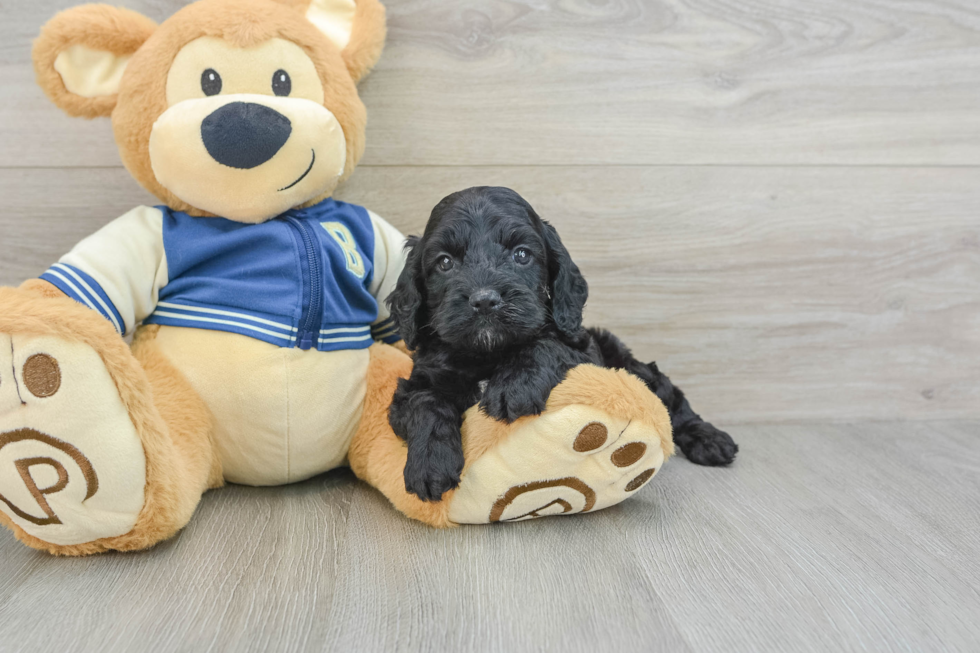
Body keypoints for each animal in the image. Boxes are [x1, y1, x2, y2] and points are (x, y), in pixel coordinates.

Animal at [384, 186, 736, 502]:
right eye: (445, 263)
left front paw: (515, 386)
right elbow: (427, 403)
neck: (490, 353)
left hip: (626, 361)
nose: (485, 300)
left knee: (670, 397)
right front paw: (430, 465)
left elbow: (546, 343)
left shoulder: (580, 347)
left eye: (521, 255)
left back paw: (711, 440)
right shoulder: (417, 382)